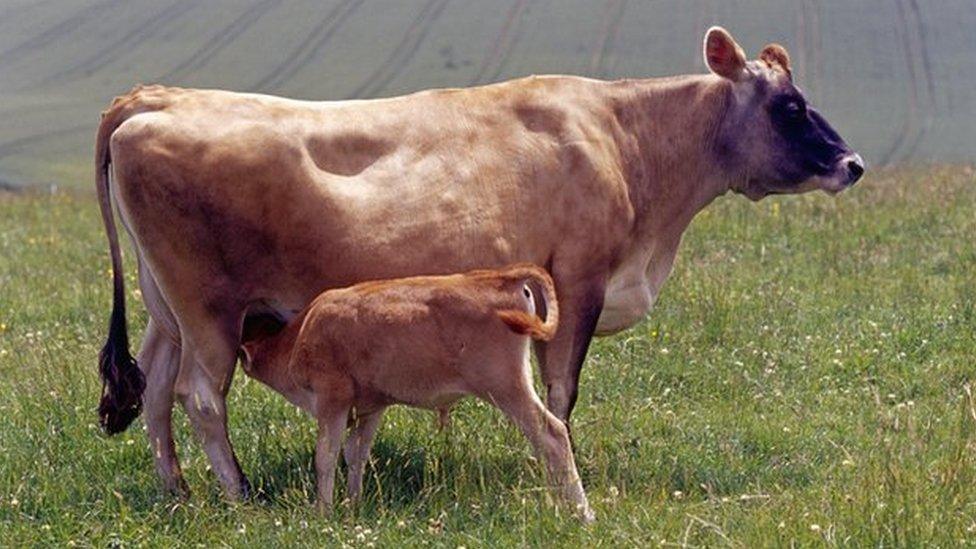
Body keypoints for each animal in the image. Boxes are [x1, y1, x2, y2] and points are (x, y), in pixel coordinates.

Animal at [236, 264, 596, 520]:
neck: (302, 332)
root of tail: (498, 276)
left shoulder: (332, 400)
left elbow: (325, 456)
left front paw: (323, 512)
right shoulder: (372, 407)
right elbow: (356, 454)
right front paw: (353, 505)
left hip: (507, 388)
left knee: (552, 434)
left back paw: (583, 513)